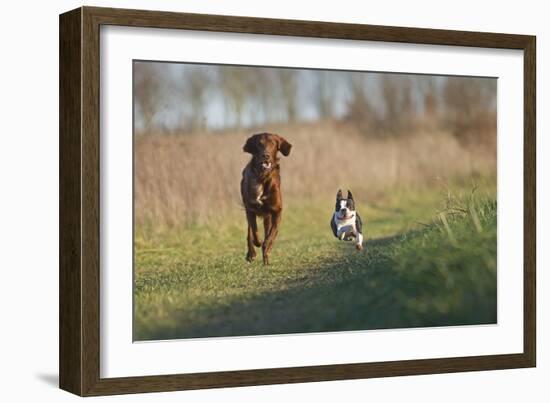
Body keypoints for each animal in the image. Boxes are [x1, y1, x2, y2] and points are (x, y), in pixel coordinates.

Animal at [242, 133, 294, 266]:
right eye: (259, 144)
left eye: (273, 144)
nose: (266, 155)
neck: (262, 177)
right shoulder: (250, 209)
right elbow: (254, 232)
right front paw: (258, 244)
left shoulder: (276, 211)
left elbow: (271, 235)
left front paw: (267, 248)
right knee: (249, 231)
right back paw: (251, 253)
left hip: (268, 216)